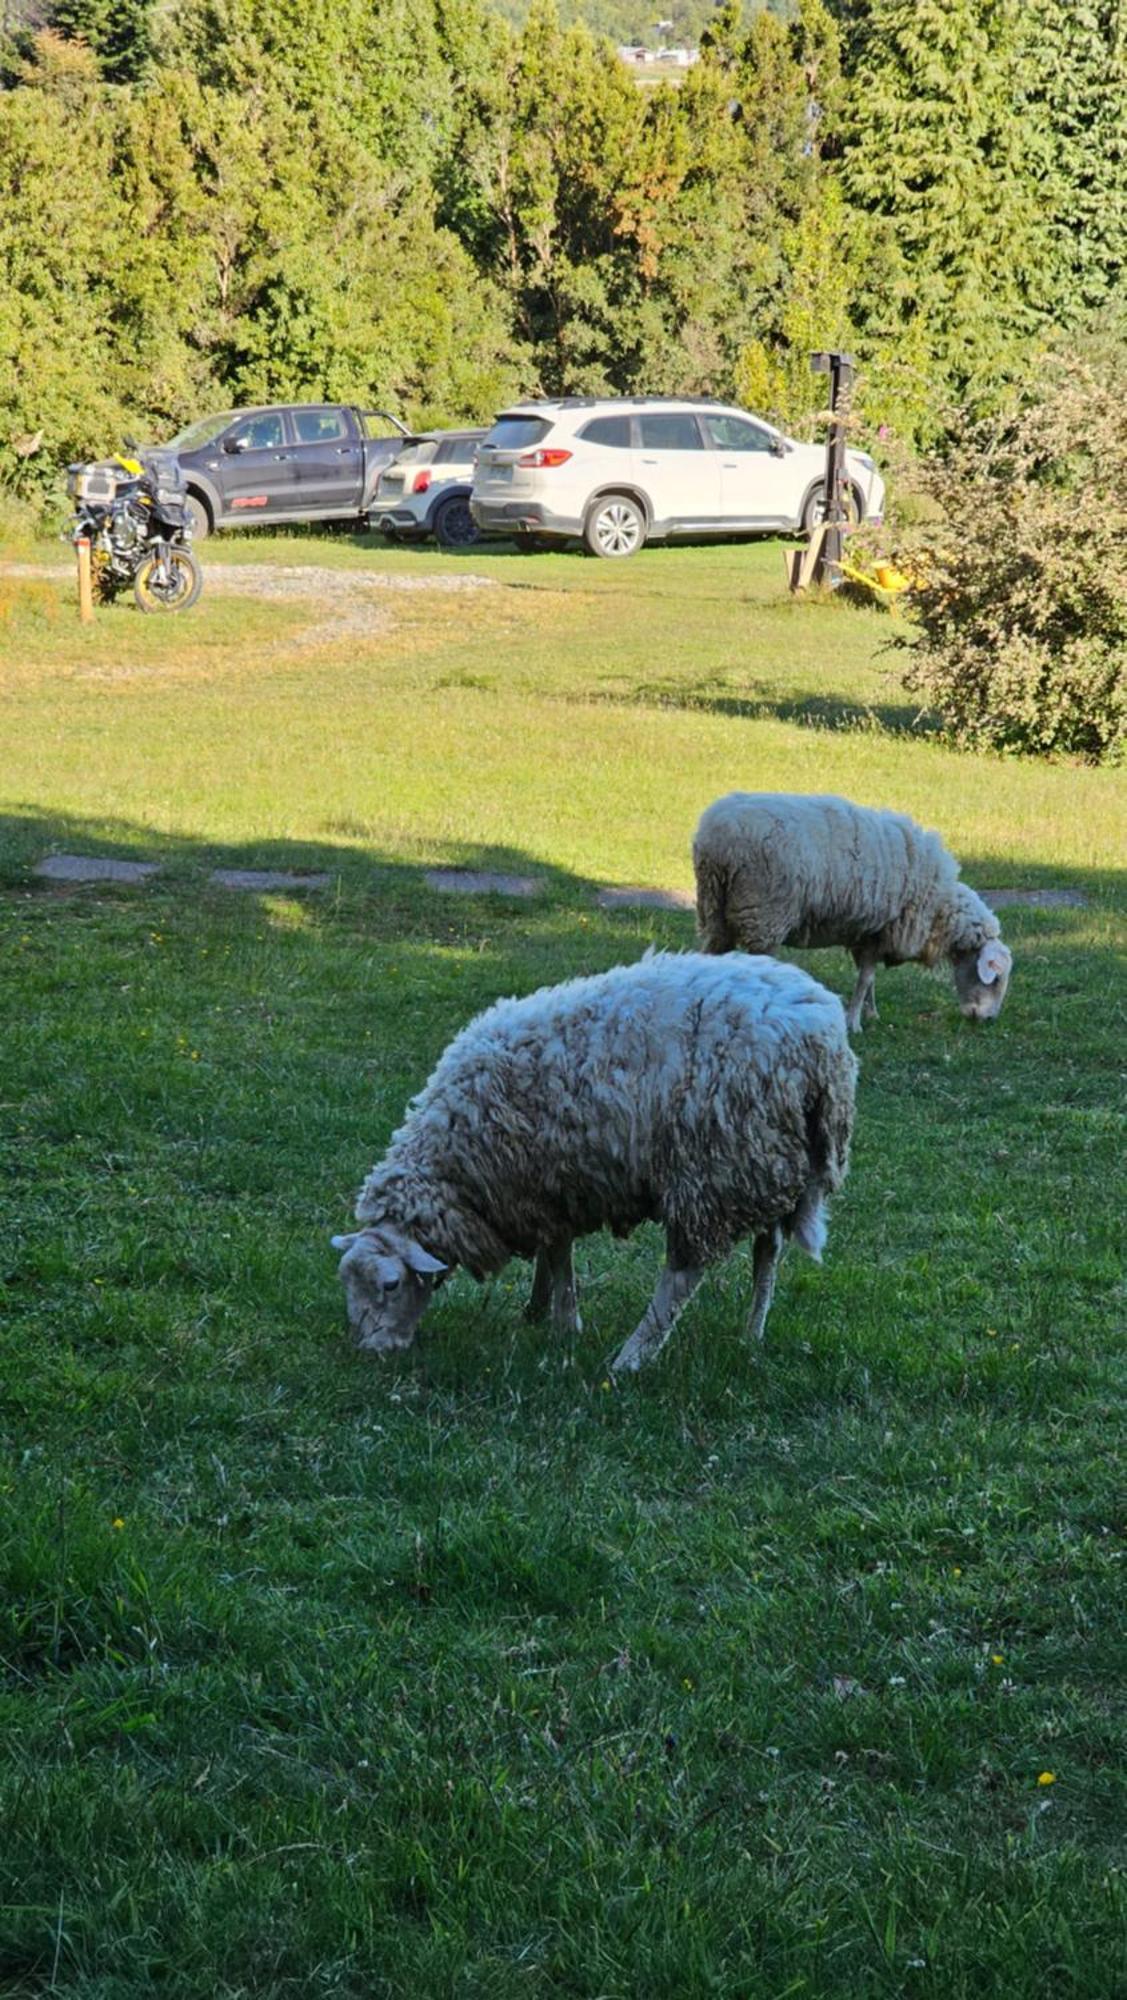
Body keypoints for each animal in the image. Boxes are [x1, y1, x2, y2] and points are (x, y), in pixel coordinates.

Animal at [329, 952, 859, 1376]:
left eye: (390, 1284)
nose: (370, 1351)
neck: (456, 1167)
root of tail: (825, 1045)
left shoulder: (547, 1184)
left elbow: (560, 1255)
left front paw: (564, 1322)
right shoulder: (545, 1189)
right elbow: (552, 1254)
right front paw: (537, 1308)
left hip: (714, 1167)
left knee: (683, 1274)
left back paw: (632, 1357)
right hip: (768, 1162)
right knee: (768, 1251)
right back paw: (752, 1332)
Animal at [691, 788, 1015, 1032]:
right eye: (997, 978)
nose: (987, 1019)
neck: (939, 909)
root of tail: (714, 840)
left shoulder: (865, 934)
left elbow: (866, 978)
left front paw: (871, 1013)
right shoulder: (879, 932)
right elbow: (865, 978)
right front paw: (854, 1022)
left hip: (715, 910)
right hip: (764, 916)